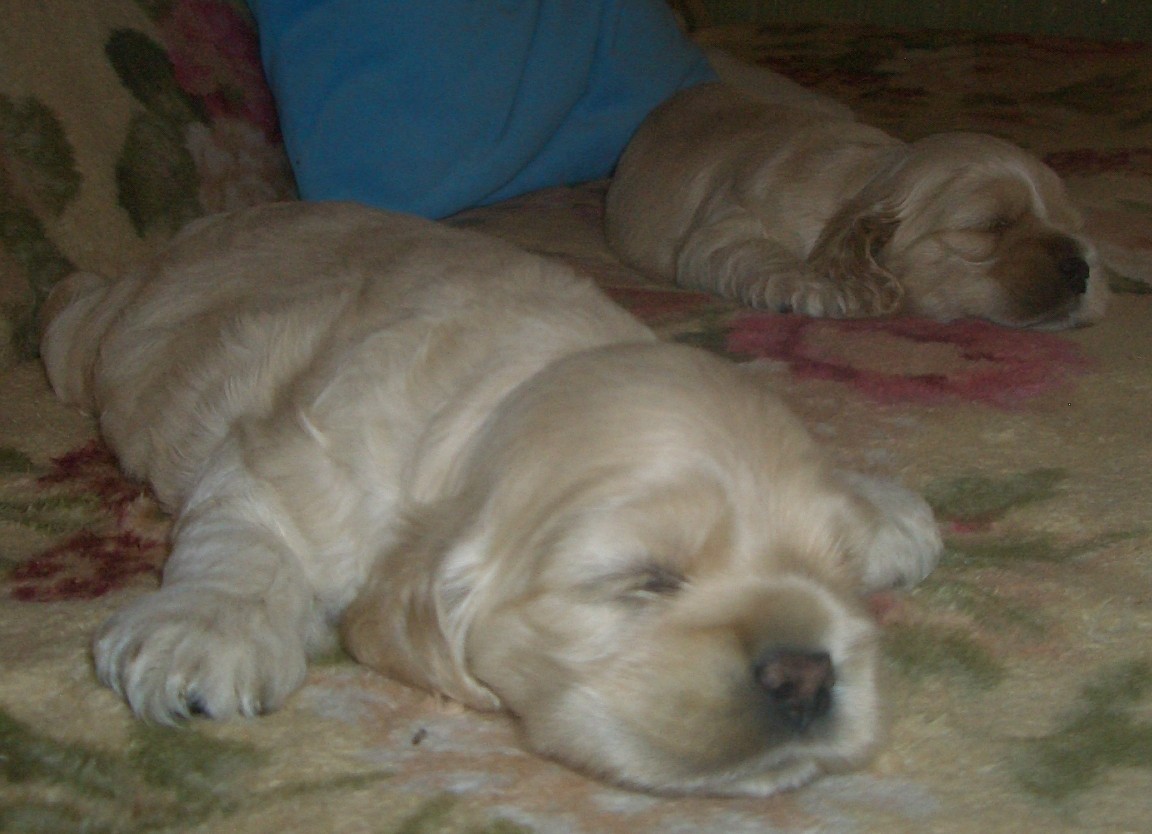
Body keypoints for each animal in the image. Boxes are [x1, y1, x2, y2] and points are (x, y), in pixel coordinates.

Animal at [42, 200, 944, 797]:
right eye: (644, 581)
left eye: (836, 574)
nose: (808, 676)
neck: (509, 389)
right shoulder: (286, 467)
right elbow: (243, 538)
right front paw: (204, 632)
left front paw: (882, 509)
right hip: (99, 338)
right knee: (70, 315)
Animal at [608, 80, 1110, 329]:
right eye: (991, 225)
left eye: (1072, 224)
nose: (1081, 269)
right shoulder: (723, 228)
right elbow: (755, 252)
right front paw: (820, 289)